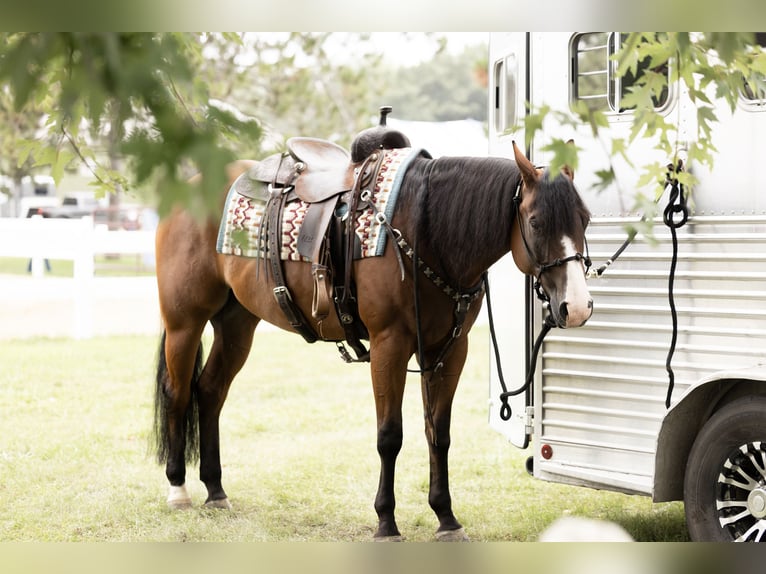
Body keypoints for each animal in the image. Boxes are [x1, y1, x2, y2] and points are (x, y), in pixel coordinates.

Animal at [152, 140, 593, 541]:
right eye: (535, 222)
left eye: (585, 219)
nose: (576, 306)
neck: (426, 231)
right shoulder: (389, 346)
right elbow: (389, 436)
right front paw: (386, 522)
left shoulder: (449, 350)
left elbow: (439, 433)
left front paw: (446, 518)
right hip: (185, 323)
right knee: (178, 393)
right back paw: (178, 489)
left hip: (238, 323)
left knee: (210, 391)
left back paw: (215, 490)